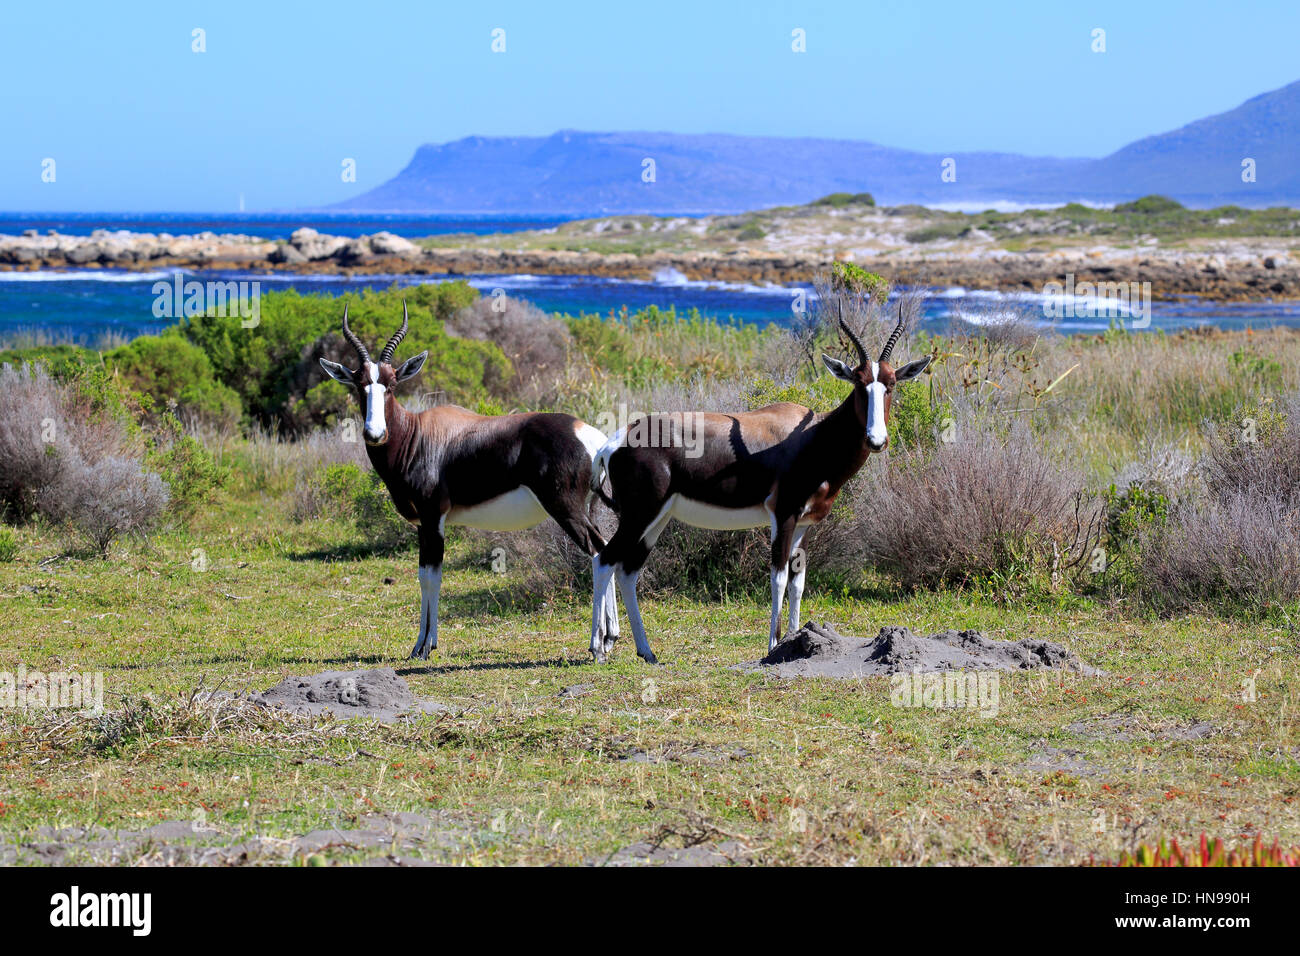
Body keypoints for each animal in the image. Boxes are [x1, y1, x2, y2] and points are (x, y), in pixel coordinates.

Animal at [317, 303, 616, 660]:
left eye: (391, 385)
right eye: (359, 385)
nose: (374, 434)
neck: (418, 435)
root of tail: (591, 436)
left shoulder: (433, 518)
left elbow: (431, 577)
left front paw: (423, 648)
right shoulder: (424, 525)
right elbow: (425, 574)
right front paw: (423, 645)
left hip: (566, 509)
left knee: (597, 554)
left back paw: (596, 646)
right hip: (588, 508)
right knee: (607, 549)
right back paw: (611, 639)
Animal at [595, 306, 930, 665]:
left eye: (891, 384)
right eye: (859, 382)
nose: (876, 440)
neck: (812, 436)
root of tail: (617, 440)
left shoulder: (804, 524)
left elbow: (798, 581)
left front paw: (796, 640)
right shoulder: (782, 515)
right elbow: (779, 576)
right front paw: (773, 645)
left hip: (657, 519)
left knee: (627, 570)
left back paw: (647, 652)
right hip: (639, 515)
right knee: (604, 560)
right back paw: (598, 649)